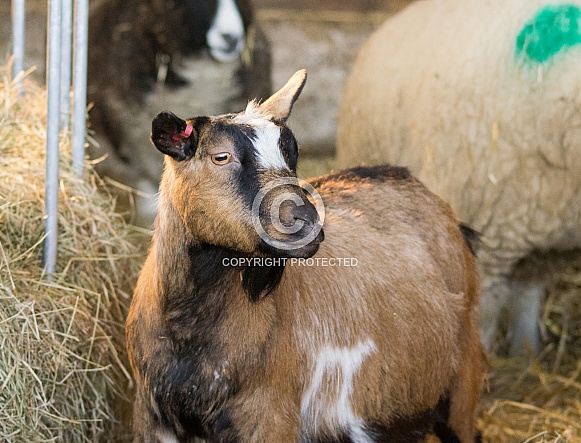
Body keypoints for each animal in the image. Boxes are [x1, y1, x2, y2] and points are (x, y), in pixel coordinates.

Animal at [125, 69, 484, 443]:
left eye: (293, 153)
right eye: (220, 156)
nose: (306, 221)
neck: (188, 332)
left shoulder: (270, 417)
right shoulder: (152, 419)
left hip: (463, 381)